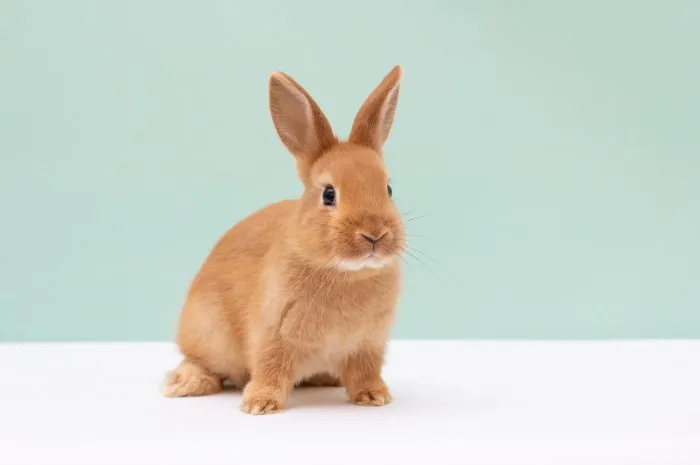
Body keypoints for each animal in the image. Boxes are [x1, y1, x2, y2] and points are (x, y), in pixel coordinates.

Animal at [162, 65, 405, 415]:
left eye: (388, 189)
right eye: (329, 194)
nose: (375, 235)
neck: (344, 273)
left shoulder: (367, 345)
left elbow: (365, 372)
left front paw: (374, 397)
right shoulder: (272, 334)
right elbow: (270, 367)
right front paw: (259, 404)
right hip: (208, 333)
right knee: (203, 363)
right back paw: (185, 383)